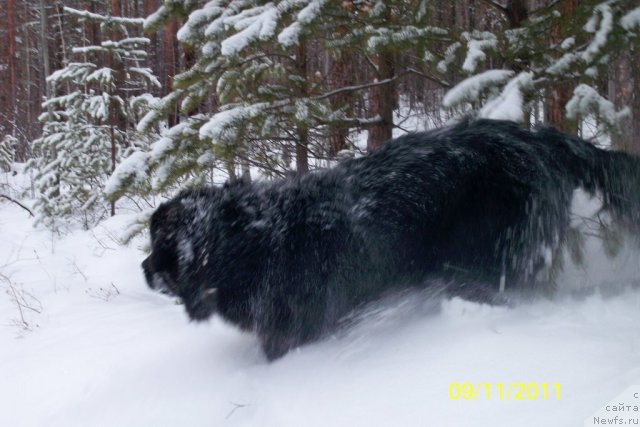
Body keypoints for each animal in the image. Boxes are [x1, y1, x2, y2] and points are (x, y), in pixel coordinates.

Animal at [142, 118, 640, 360]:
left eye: (160, 244)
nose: (143, 268)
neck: (253, 244)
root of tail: (540, 139)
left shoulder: (296, 325)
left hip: (491, 256)